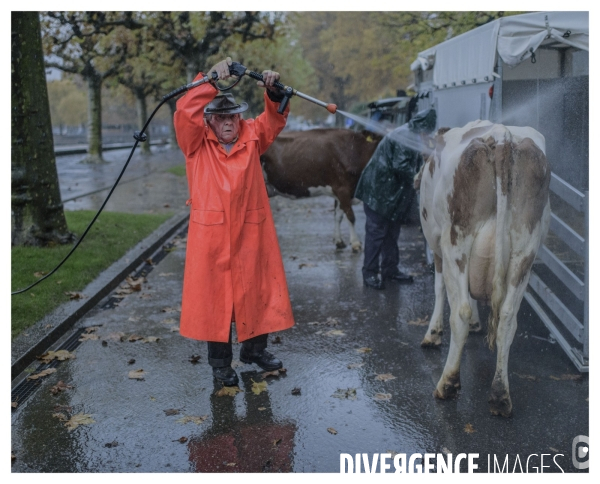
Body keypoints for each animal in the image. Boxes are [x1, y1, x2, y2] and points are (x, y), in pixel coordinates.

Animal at [414, 120, 552, 416]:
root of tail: (502, 138)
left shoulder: (437, 244)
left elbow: (439, 288)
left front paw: (432, 334)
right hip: (525, 250)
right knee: (508, 318)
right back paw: (500, 395)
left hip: (456, 241)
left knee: (460, 312)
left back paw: (447, 384)